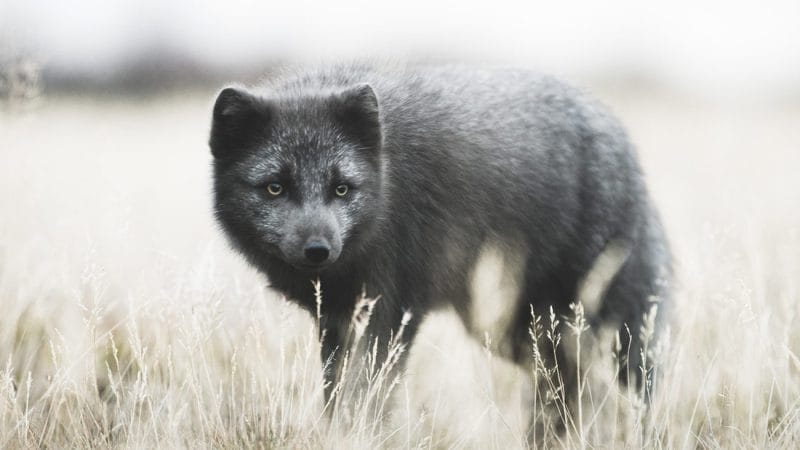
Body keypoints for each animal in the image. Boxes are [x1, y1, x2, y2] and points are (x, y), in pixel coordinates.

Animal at [206, 62, 668, 418]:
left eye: (341, 189)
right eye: (274, 188)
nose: (318, 250)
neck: (388, 181)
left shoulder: (392, 314)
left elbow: (368, 399)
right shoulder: (335, 321)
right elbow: (336, 397)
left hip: (598, 328)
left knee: (625, 388)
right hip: (518, 331)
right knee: (565, 390)